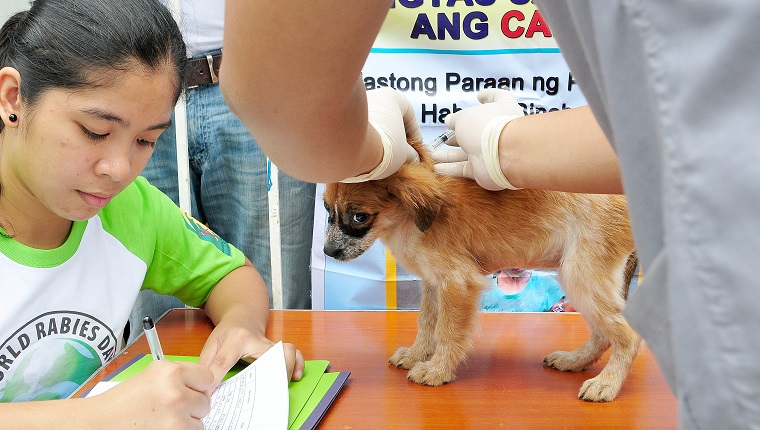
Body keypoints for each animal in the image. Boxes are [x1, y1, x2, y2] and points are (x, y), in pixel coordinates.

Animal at [322, 139, 640, 404]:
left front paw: (437, 370)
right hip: (578, 279)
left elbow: (448, 331)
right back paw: (574, 360)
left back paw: (606, 383)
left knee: (629, 336)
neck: (406, 219)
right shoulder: (433, 282)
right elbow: (426, 322)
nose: (327, 252)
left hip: (582, 277)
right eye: (326, 209)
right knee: (602, 334)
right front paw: (416, 354)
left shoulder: (457, 282)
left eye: (359, 216)